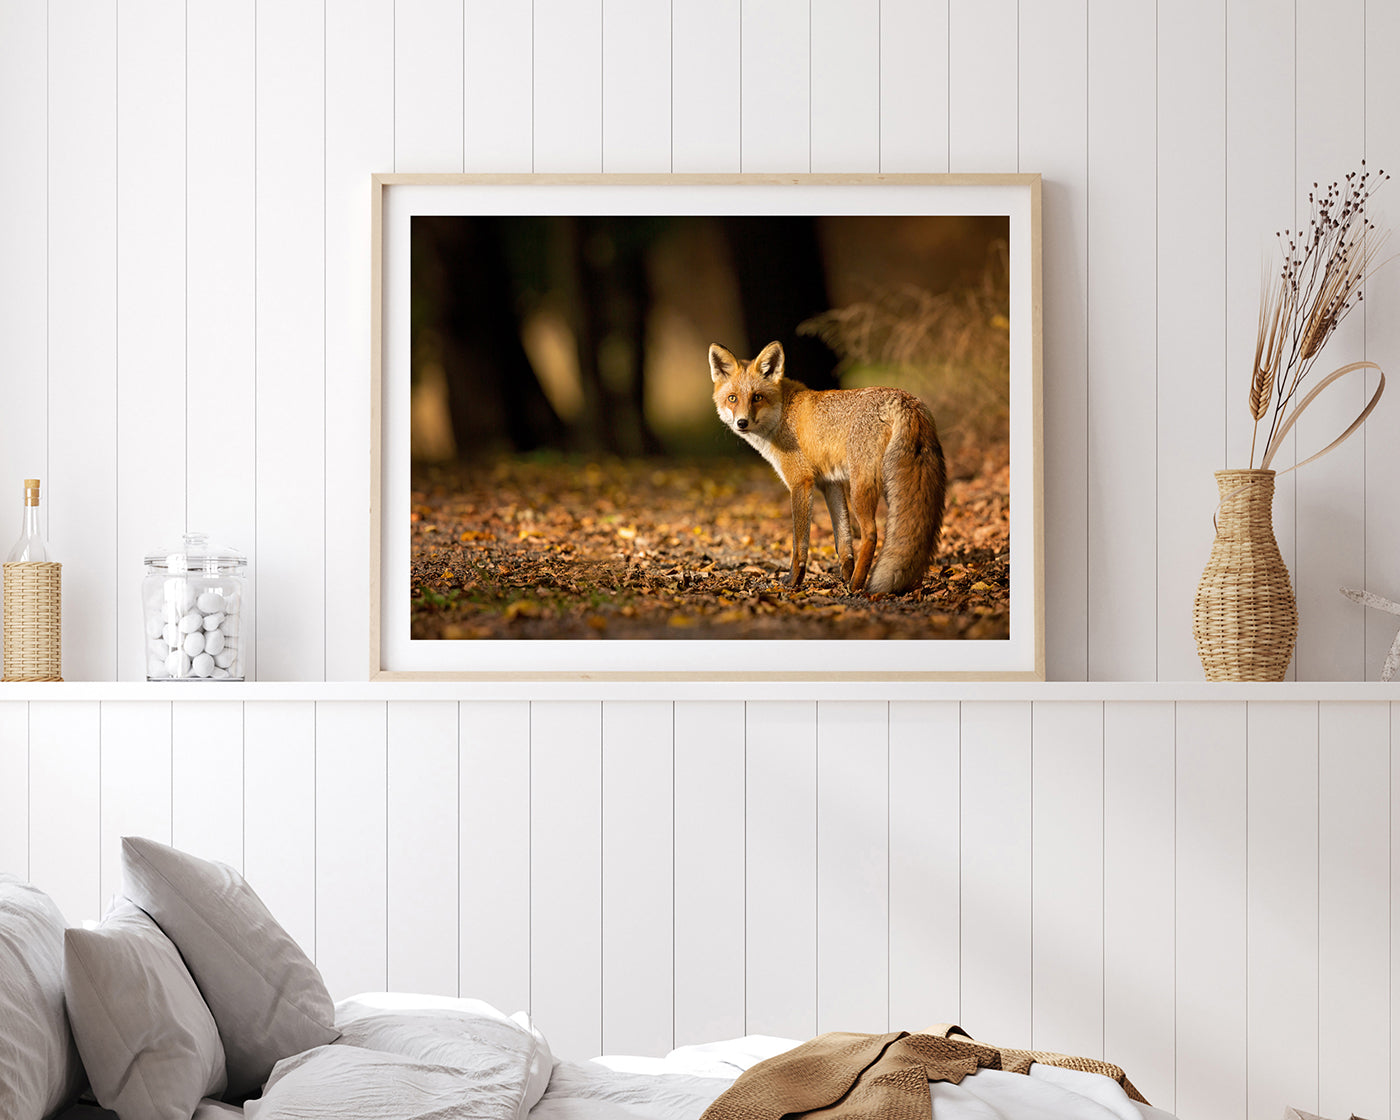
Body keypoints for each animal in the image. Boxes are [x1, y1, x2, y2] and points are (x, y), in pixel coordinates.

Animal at [710, 339, 947, 595]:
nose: (742, 422)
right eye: (732, 398)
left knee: (871, 534)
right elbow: (843, 541)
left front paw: (794, 581)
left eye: (757, 397)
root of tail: (905, 399)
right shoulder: (830, 483)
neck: (783, 414)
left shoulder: (801, 482)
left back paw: (857, 585)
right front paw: (844, 575)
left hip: (861, 488)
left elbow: (799, 543)